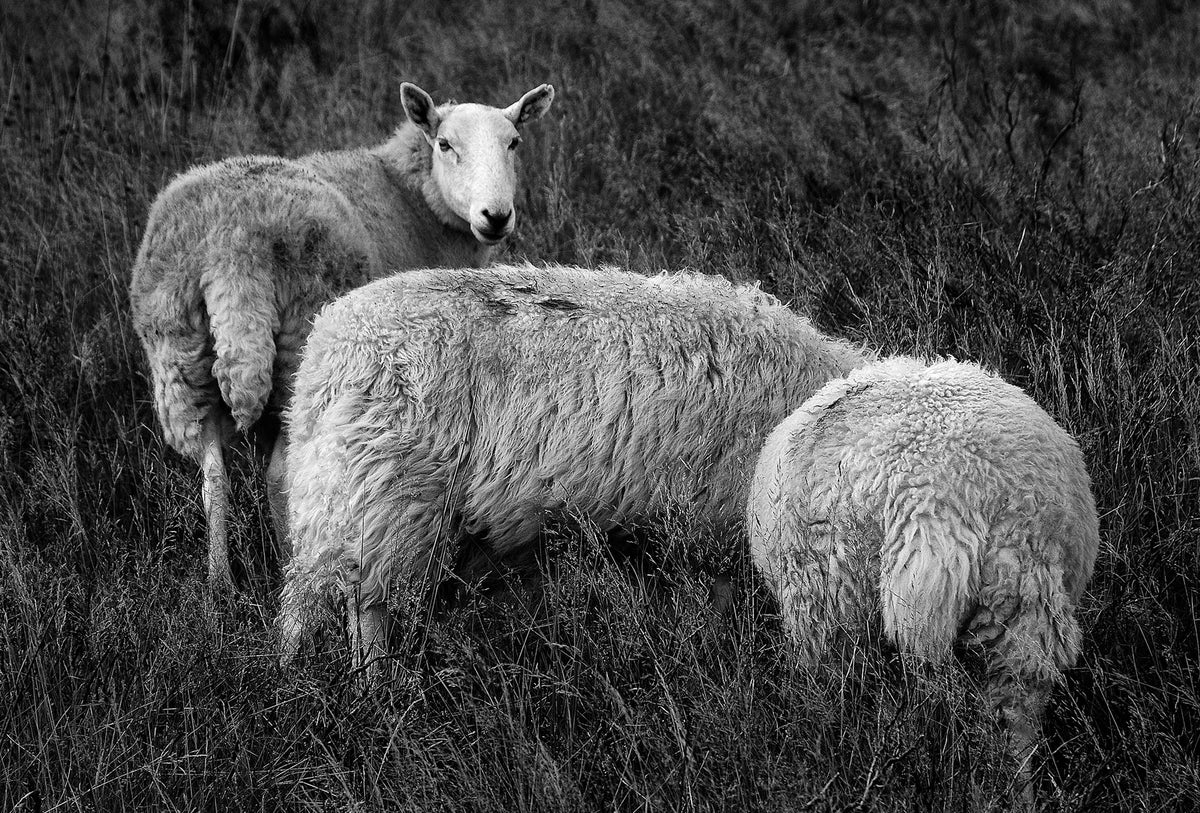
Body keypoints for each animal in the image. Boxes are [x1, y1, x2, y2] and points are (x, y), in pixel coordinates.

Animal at [129, 81, 555, 590]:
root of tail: (231, 244)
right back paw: (288, 565)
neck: (409, 199)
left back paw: (219, 585)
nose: (497, 215)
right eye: (445, 144)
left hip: (180, 358)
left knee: (214, 477)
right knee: (281, 475)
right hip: (297, 353)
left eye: (514, 143)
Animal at [276, 263, 872, 669]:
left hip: (337, 498)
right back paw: (376, 690)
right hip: (387, 500)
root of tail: (326, 347)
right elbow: (715, 607)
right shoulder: (709, 527)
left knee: (310, 602)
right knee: (368, 610)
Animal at [746, 356, 1099, 793]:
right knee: (1010, 717)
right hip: (1021, 598)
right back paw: (1005, 792)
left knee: (851, 705)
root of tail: (933, 498)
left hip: (832, 603)